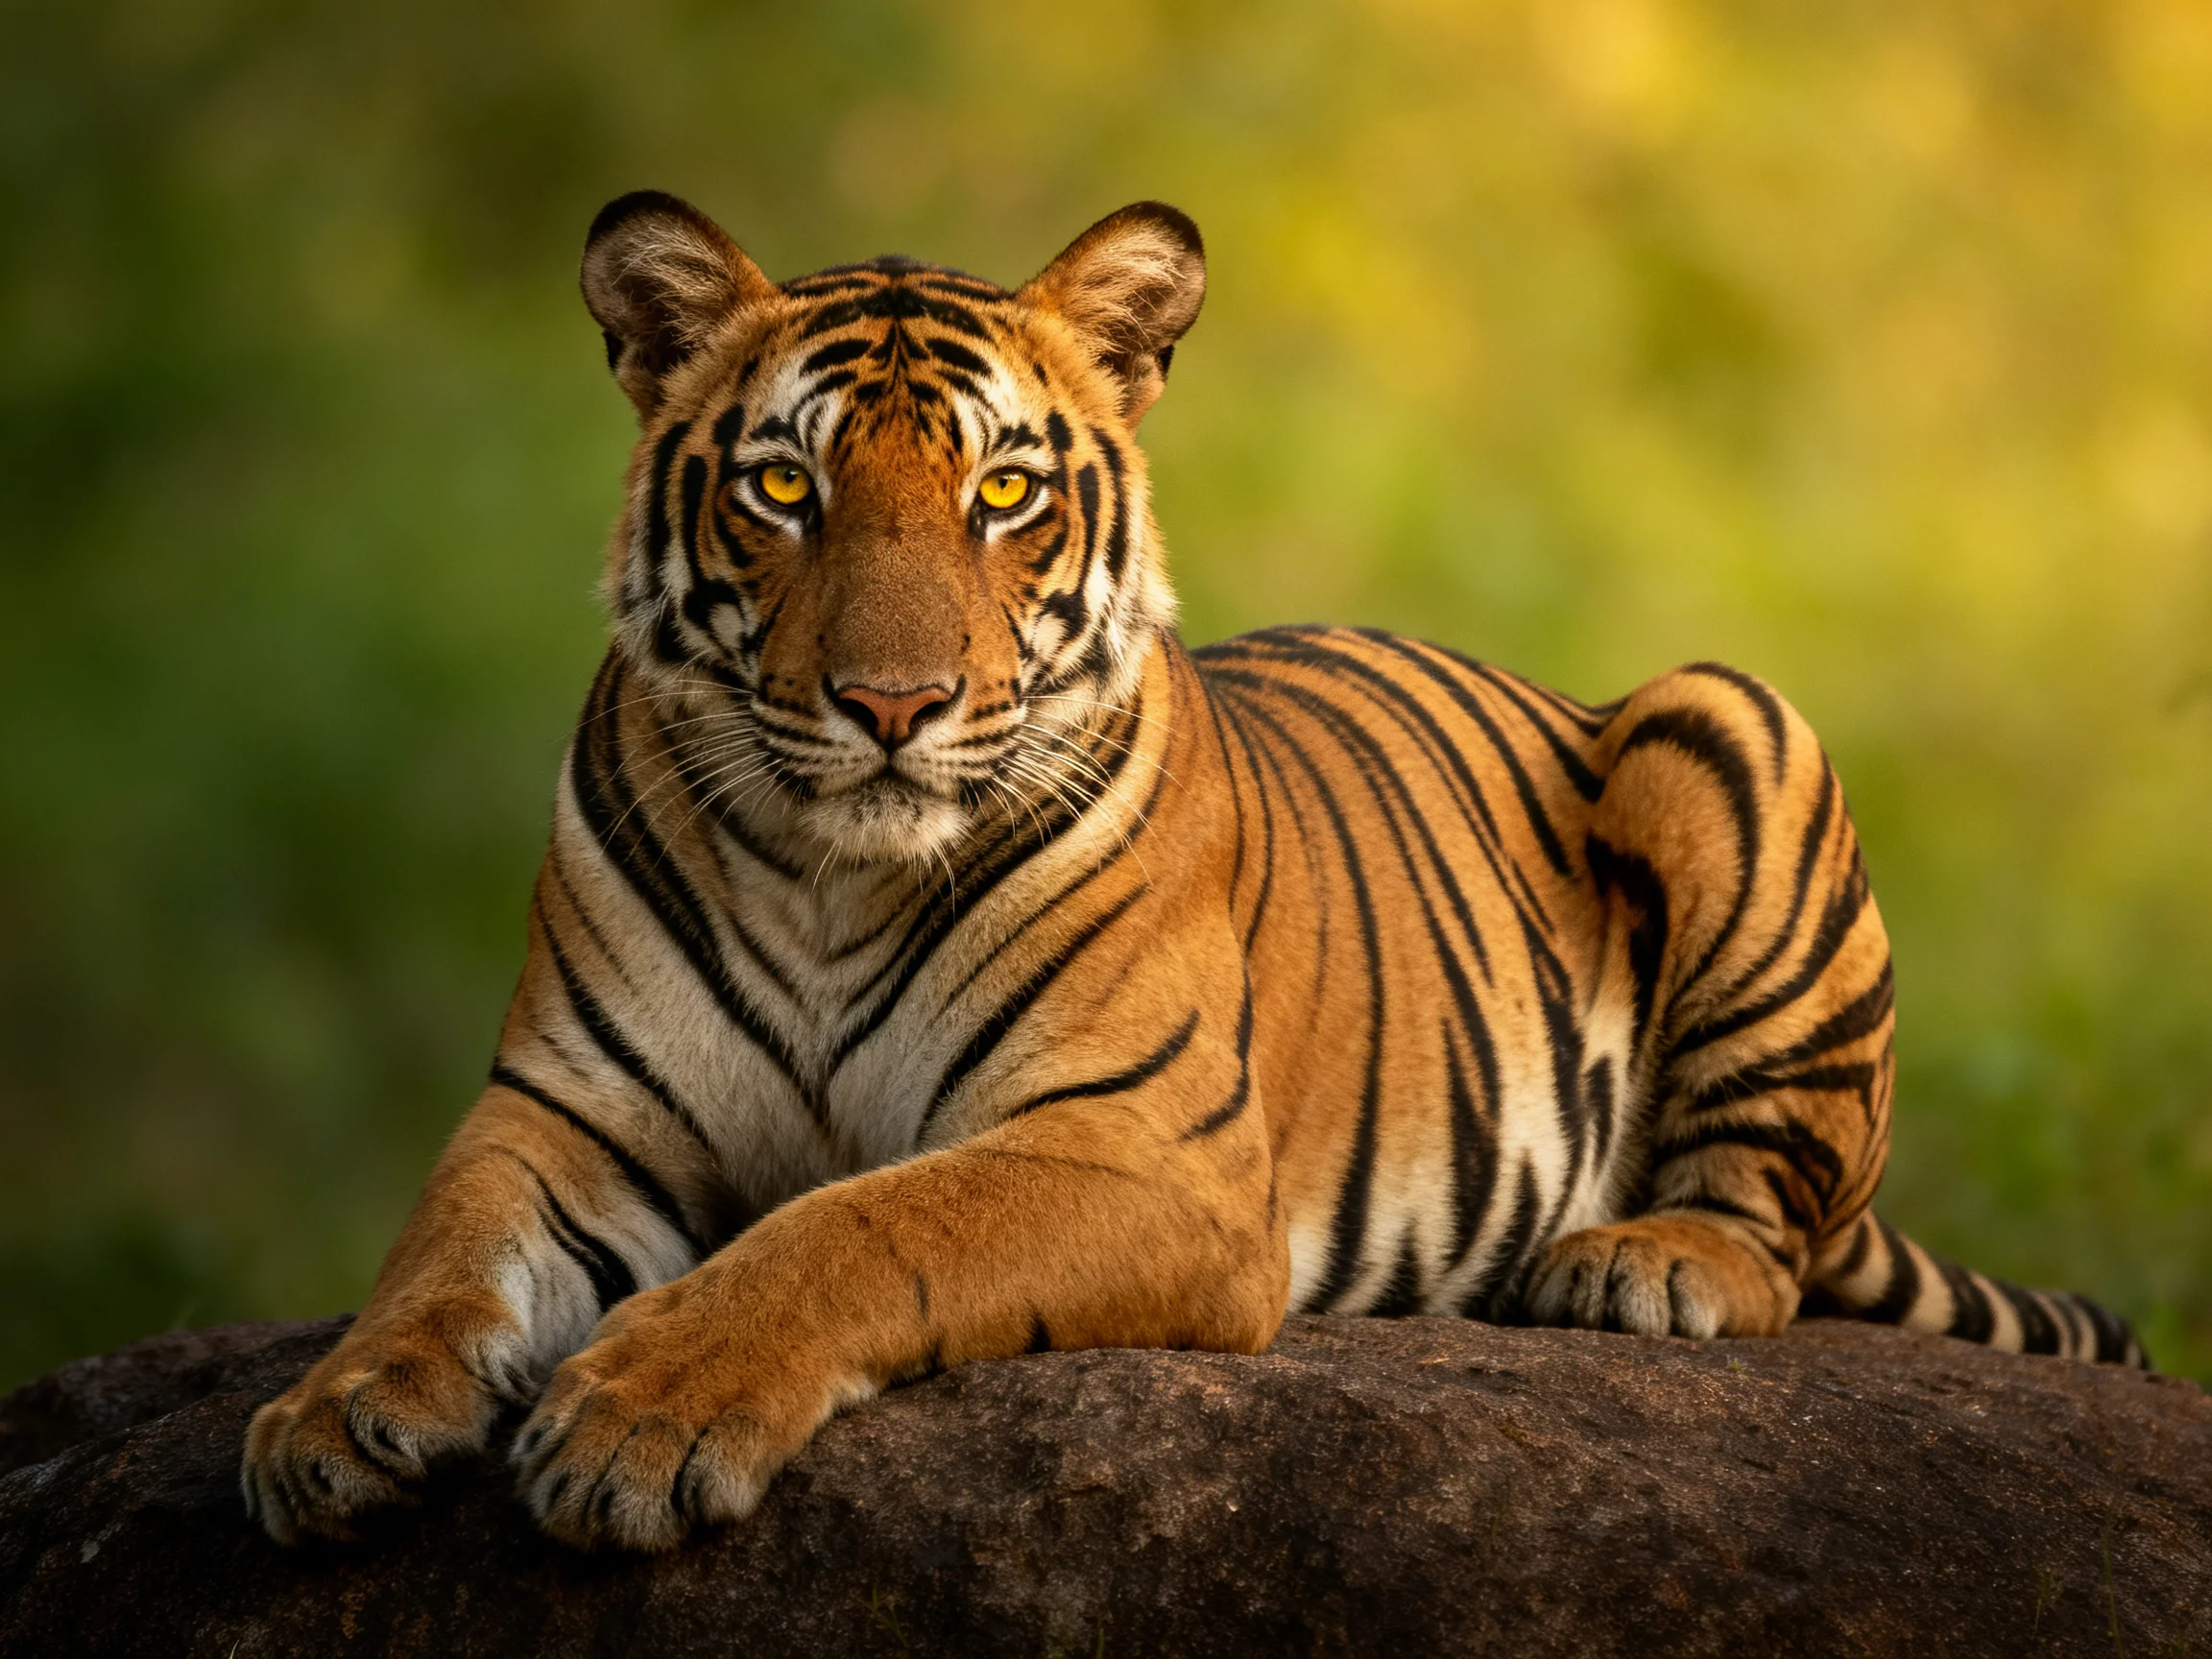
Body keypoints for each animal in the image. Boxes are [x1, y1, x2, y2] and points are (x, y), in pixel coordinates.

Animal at [241, 191, 2147, 1553]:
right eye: (782, 488)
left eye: (1004, 492)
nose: (890, 704)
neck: (831, 877)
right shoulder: (568, 1107)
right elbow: (440, 1244)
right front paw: (328, 1420)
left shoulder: (1133, 1141)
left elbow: (851, 1225)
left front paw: (640, 1414)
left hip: (1725, 714)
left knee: (1772, 1229)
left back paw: (1641, 1262)